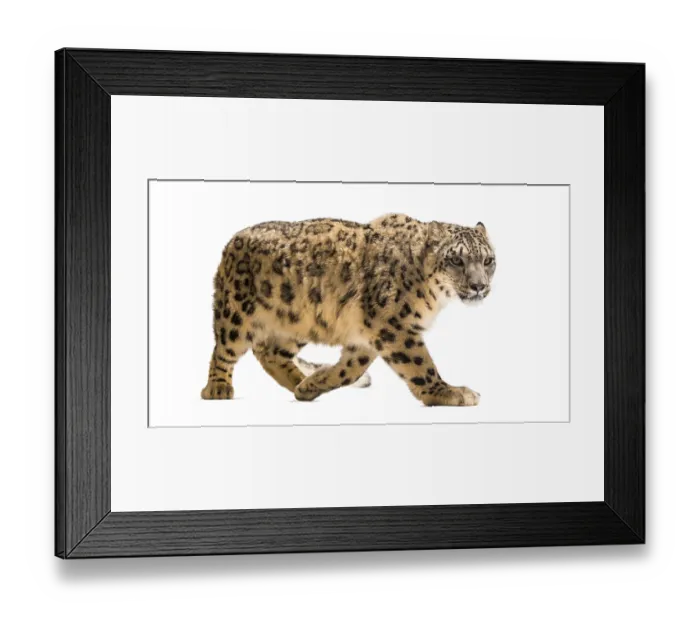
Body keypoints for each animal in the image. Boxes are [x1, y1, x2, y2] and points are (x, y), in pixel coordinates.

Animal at [201, 214, 496, 406]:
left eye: (488, 260)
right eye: (456, 260)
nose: (479, 286)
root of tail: (231, 243)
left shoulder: (367, 336)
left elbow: (349, 369)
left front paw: (315, 383)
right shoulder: (393, 326)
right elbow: (420, 364)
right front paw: (452, 393)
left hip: (296, 323)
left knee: (269, 352)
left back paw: (300, 383)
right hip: (235, 314)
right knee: (223, 350)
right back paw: (217, 388)